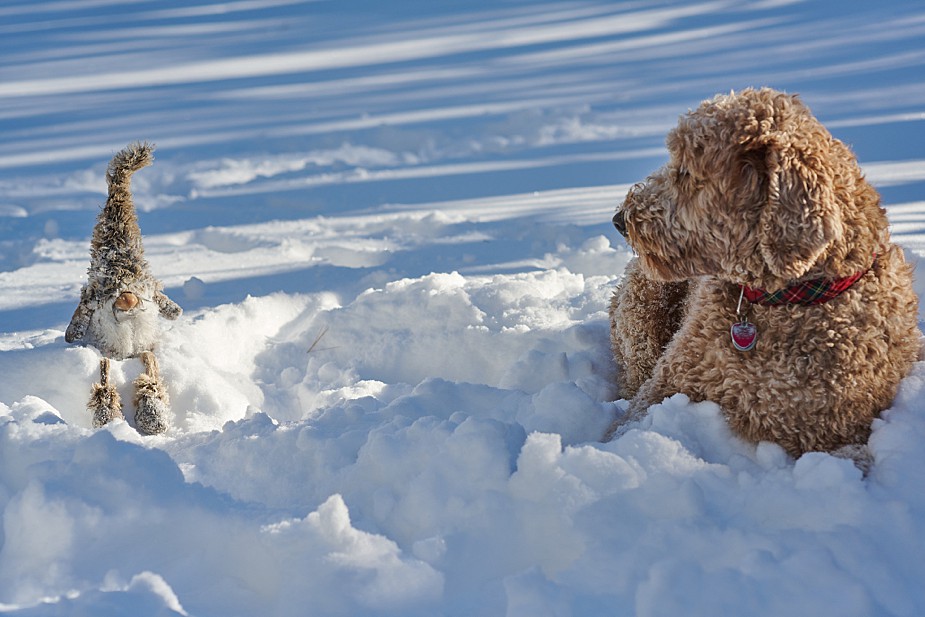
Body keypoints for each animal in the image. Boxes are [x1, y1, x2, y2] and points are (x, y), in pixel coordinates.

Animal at [608, 88, 916, 458]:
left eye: (685, 172)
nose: (619, 219)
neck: (787, 299)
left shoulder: (838, 433)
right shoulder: (661, 388)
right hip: (642, 309)